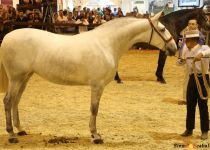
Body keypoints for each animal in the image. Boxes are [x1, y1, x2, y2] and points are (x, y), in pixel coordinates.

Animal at [0, 11, 177, 143]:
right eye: (162, 29)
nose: (174, 48)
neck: (106, 43)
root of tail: (7, 37)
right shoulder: (97, 85)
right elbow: (94, 109)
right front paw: (96, 135)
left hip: (25, 77)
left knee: (16, 100)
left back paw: (20, 130)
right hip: (16, 78)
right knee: (8, 101)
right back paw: (12, 135)